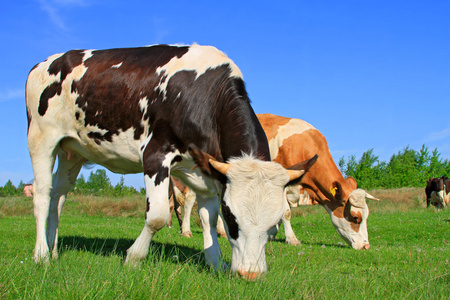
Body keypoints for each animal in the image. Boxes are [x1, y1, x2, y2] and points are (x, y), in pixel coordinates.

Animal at [25, 44, 316, 278]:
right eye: (232, 219)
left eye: (273, 225)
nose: (251, 275)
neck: (204, 96)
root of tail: (46, 62)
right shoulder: (155, 155)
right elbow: (156, 216)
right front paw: (133, 258)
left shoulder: (206, 171)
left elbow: (207, 218)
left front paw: (216, 264)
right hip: (41, 139)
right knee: (42, 195)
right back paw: (41, 255)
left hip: (72, 151)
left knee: (59, 197)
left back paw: (53, 250)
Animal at [256, 113, 380, 250]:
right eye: (355, 217)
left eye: (366, 215)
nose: (366, 246)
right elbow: (286, 213)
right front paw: (292, 239)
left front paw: (271, 235)